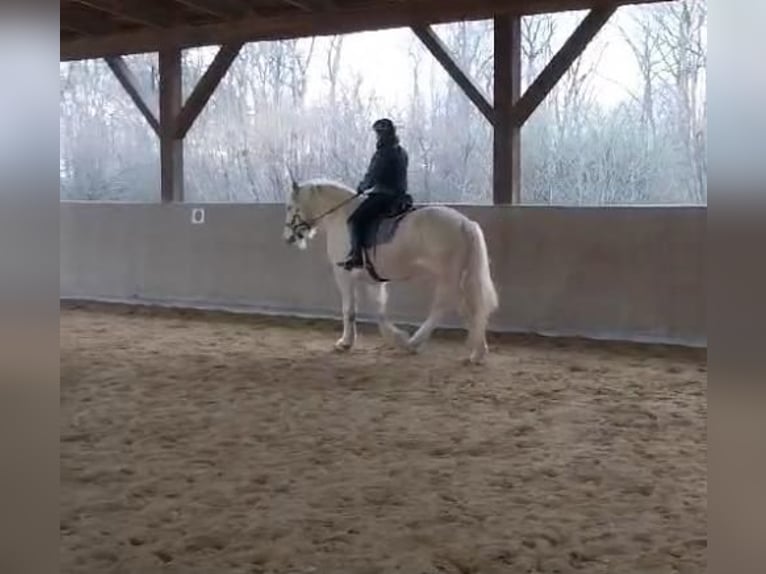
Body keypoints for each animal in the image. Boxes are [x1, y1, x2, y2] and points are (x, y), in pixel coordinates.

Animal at [282, 178, 498, 364]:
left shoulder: (343, 275)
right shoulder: (373, 280)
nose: (288, 237)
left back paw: (414, 342)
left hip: (447, 275)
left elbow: (349, 310)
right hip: (457, 276)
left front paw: (345, 342)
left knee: (444, 306)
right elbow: (379, 310)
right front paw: (394, 336)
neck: (340, 217)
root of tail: (465, 224)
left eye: (290, 207)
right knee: (468, 308)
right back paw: (478, 352)